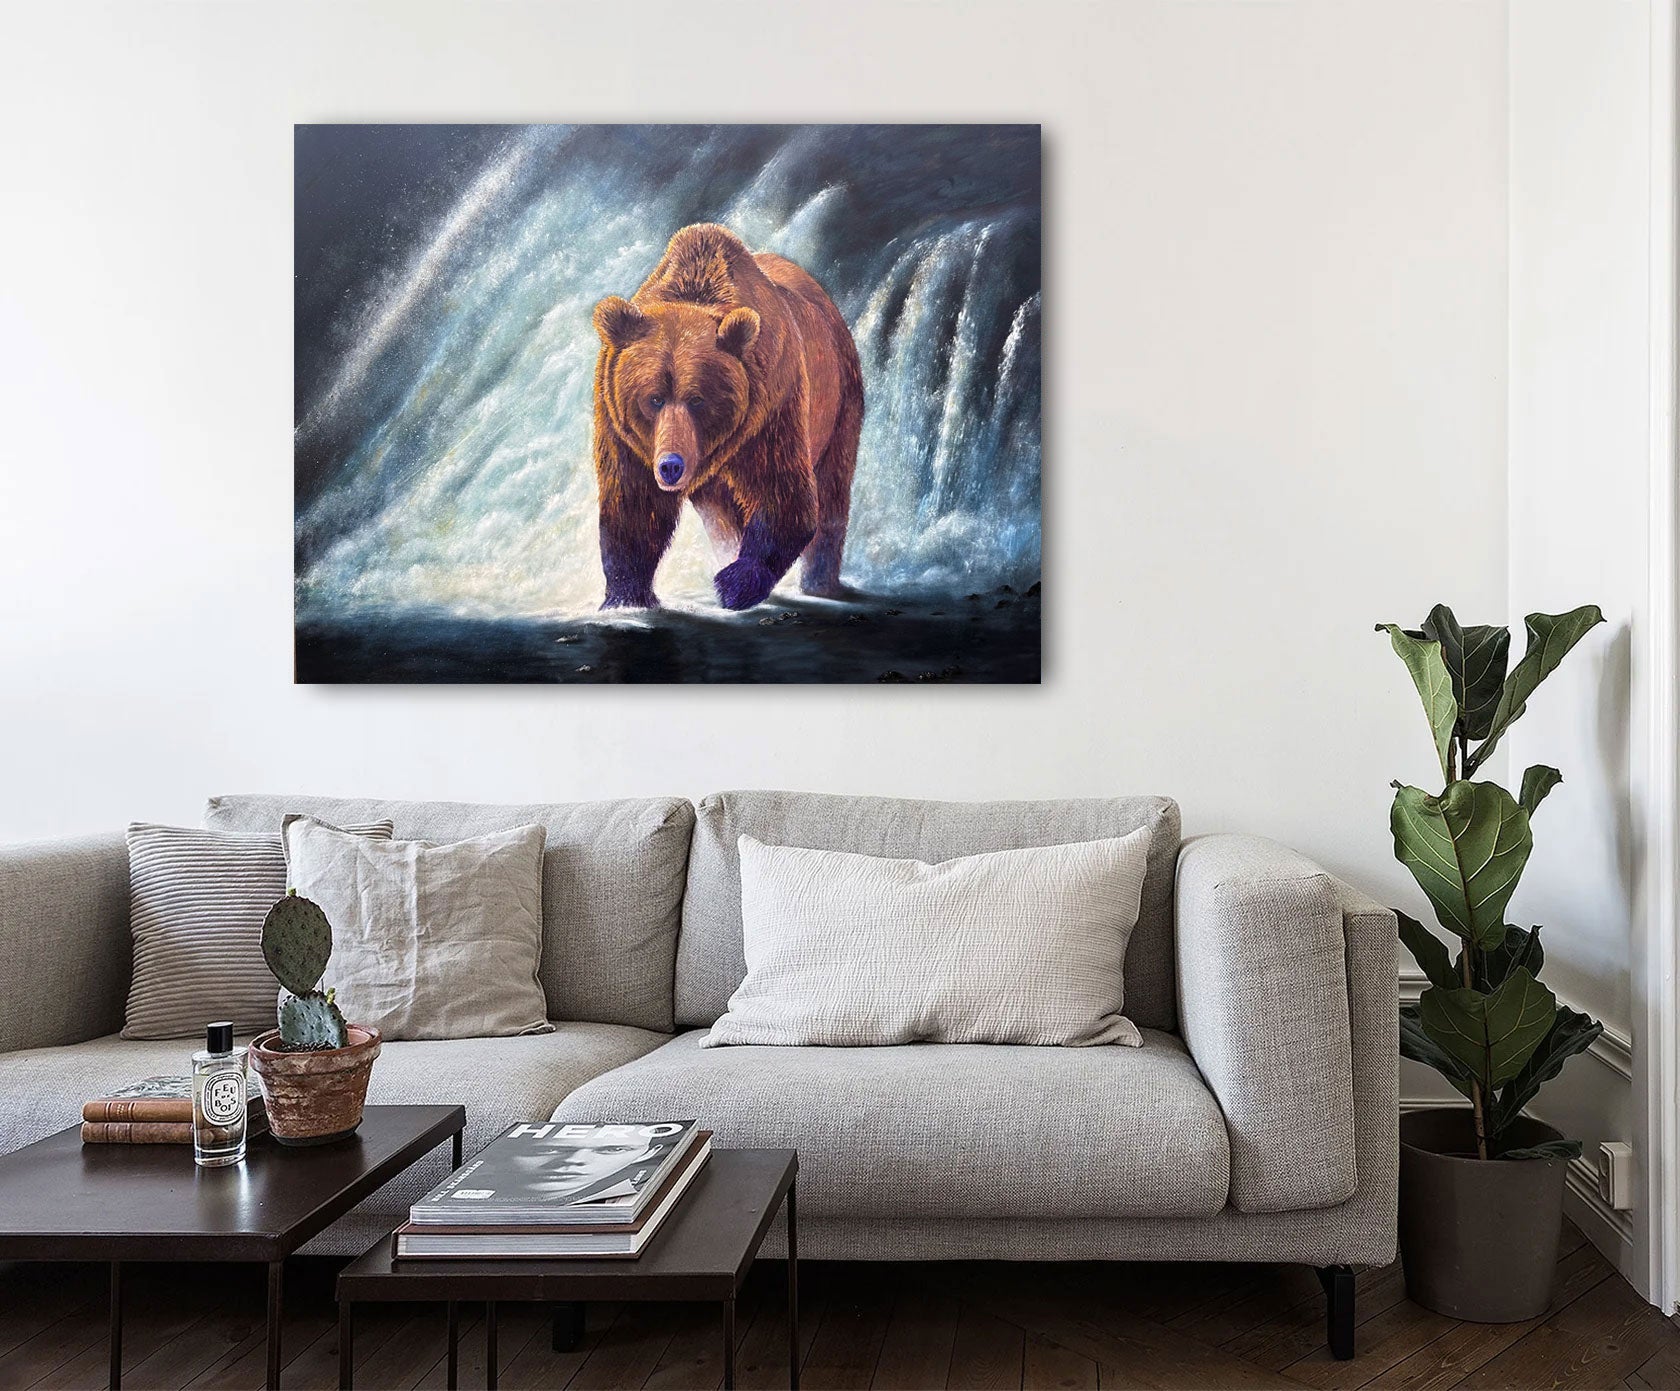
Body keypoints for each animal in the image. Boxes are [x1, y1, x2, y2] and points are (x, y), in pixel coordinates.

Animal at [591, 223, 864, 611]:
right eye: (654, 398)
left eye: (697, 399)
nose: (670, 465)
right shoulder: (621, 426)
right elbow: (633, 506)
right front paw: (627, 596)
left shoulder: (772, 408)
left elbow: (784, 498)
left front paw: (735, 583)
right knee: (721, 516)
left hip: (840, 400)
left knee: (831, 495)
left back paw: (819, 582)